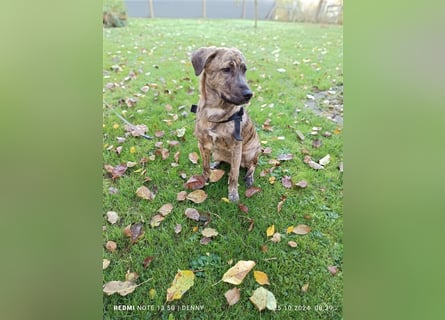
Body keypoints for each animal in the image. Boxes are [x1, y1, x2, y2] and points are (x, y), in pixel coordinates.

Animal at [190, 46, 260, 201]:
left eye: (244, 69)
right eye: (226, 69)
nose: (249, 94)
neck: (215, 111)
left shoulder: (236, 148)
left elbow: (234, 174)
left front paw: (233, 193)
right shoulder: (202, 144)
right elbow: (205, 166)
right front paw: (204, 179)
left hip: (251, 152)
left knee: (252, 165)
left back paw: (249, 177)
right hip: (217, 152)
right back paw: (216, 163)